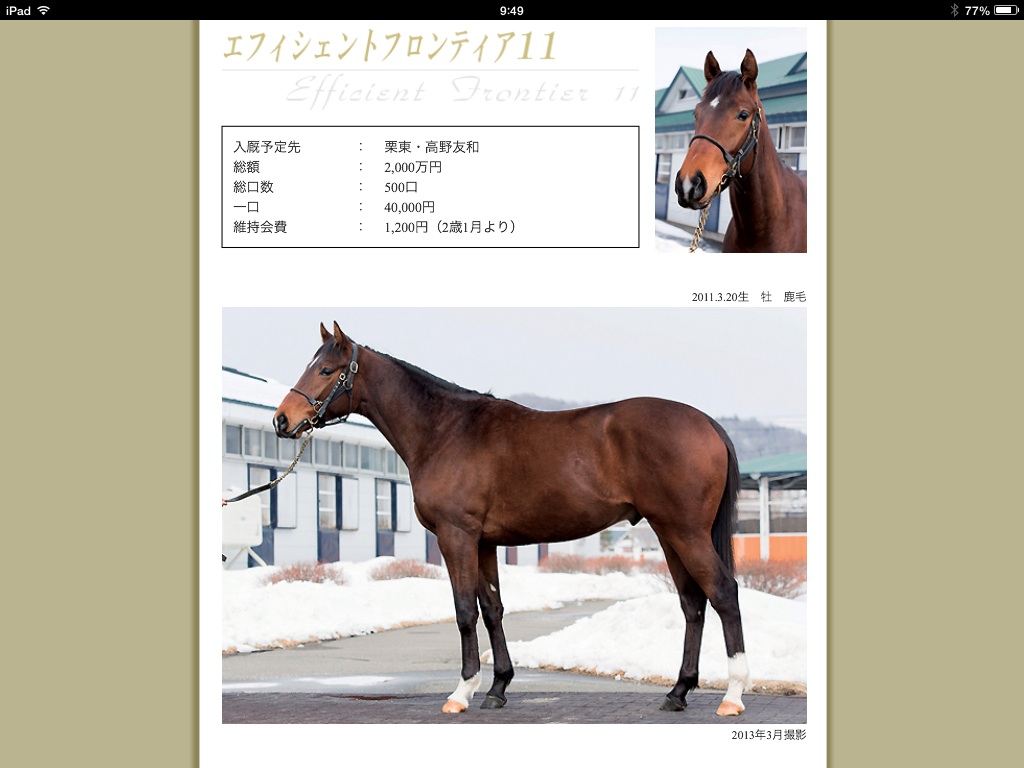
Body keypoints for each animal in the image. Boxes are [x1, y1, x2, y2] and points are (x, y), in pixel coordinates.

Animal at [272, 322, 750, 716]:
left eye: (327, 370)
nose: (282, 420)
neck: (446, 431)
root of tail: (707, 423)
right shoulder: (484, 542)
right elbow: (492, 609)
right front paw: (498, 688)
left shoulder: (456, 537)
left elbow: (465, 610)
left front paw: (462, 692)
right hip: (669, 534)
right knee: (693, 603)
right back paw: (678, 692)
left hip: (685, 532)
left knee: (723, 593)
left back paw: (732, 696)